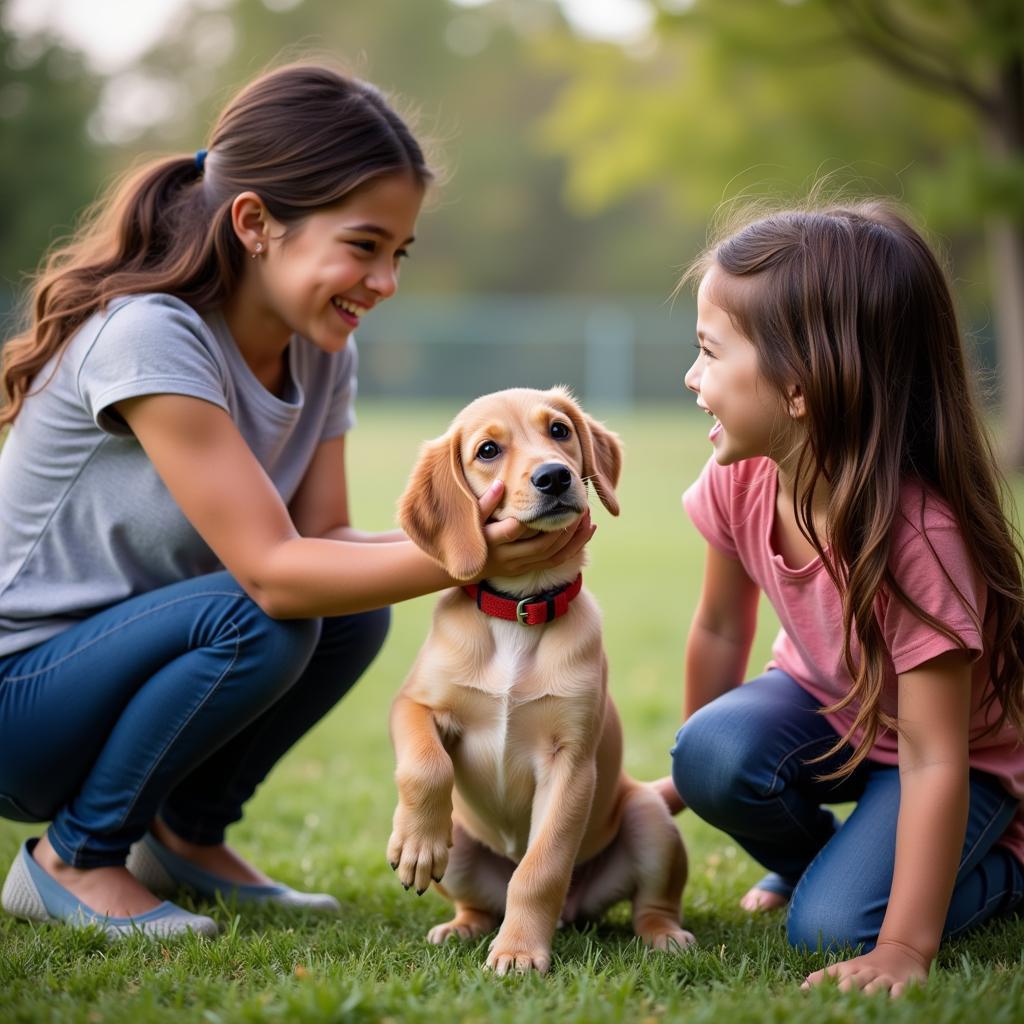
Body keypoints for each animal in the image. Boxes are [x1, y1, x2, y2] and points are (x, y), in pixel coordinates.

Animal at [387, 387, 692, 970]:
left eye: (559, 431)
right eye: (487, 450)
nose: (554, 476)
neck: (521, 609)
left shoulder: (570, 761)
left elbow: (540, 868)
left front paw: (519, 951)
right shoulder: (414, 703)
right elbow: (426, 764)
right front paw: (415, 841)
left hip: (649, 819)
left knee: (650, 903)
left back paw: (665, 936)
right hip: (463, 844)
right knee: (479, 903)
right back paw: (459, 925)